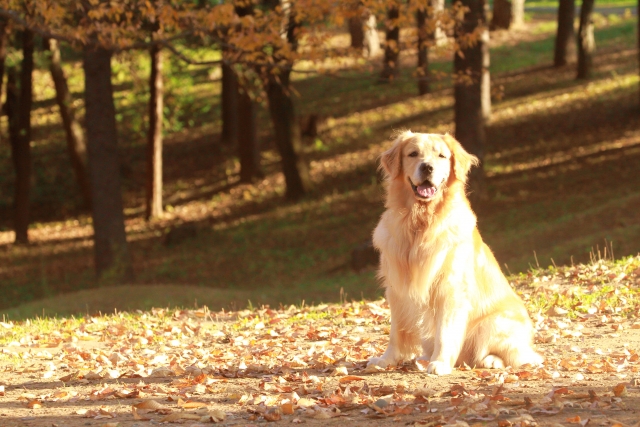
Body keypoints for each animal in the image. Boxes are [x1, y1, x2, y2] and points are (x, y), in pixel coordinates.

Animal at [368, 132, 544, 376]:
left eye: (441, 156)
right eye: (413, 154)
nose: (427, 167)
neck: (420, 222)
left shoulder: (451, 289)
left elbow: (445, 332)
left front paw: (440, 363)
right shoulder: (397, 289)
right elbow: (396, 332)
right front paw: (386, 360)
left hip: (494, 323)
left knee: (518, 357)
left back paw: (490, 361)